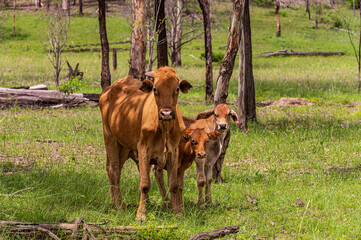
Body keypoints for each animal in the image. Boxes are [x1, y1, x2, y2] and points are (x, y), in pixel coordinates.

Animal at [97, 66, 193, 220]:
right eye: (155, 89)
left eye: (177, 88)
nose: (166, 113)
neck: (164, 128)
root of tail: (109, 89)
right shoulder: (143, 149)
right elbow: (145, 184)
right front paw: (141, 214)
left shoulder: (173, 151)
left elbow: (173, 184)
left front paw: (177, 212)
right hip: (110, 138)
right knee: (113, 170)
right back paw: (118, 206)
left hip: (124, 147)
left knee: (114, 170)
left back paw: (115, 203)